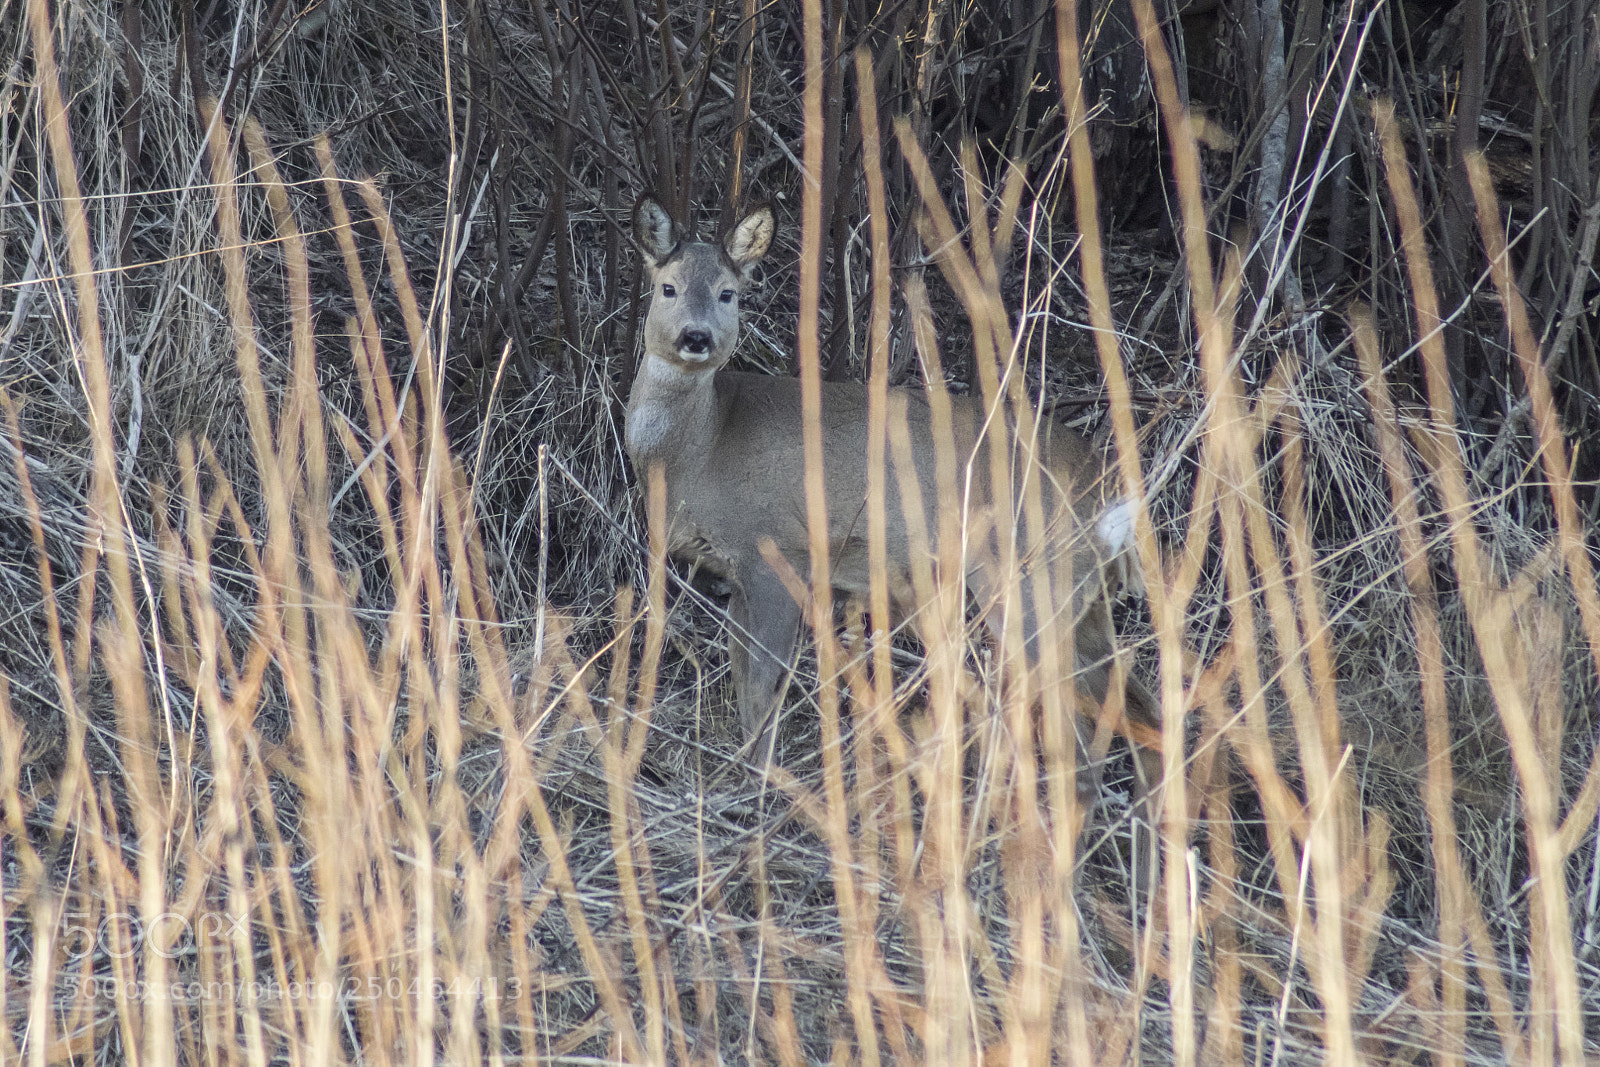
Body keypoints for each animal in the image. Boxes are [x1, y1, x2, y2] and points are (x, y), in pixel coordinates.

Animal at [624, 193, 1162, 839]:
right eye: (669, 287)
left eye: (729, 292)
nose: (697, 336)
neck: (697, 452)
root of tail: (1106, 487)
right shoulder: (732, 572)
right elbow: (740, 678)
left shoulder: (776, 550)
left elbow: (762, 687)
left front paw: (757, 788)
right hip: (1082, 591)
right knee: (1138, 706)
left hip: (1029, 576)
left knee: (1078, 725)